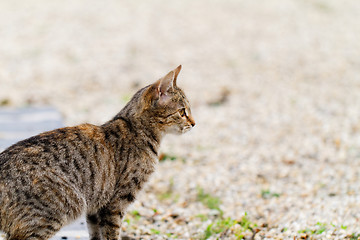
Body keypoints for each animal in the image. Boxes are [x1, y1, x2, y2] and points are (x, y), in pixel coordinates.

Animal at [0, 65, 194, 240]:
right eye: (182, 111)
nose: (194, 123)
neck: (137, 129)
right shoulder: (116, 203)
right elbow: (112, 232)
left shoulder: (95, 208)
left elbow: (96, 234)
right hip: (54, 212)